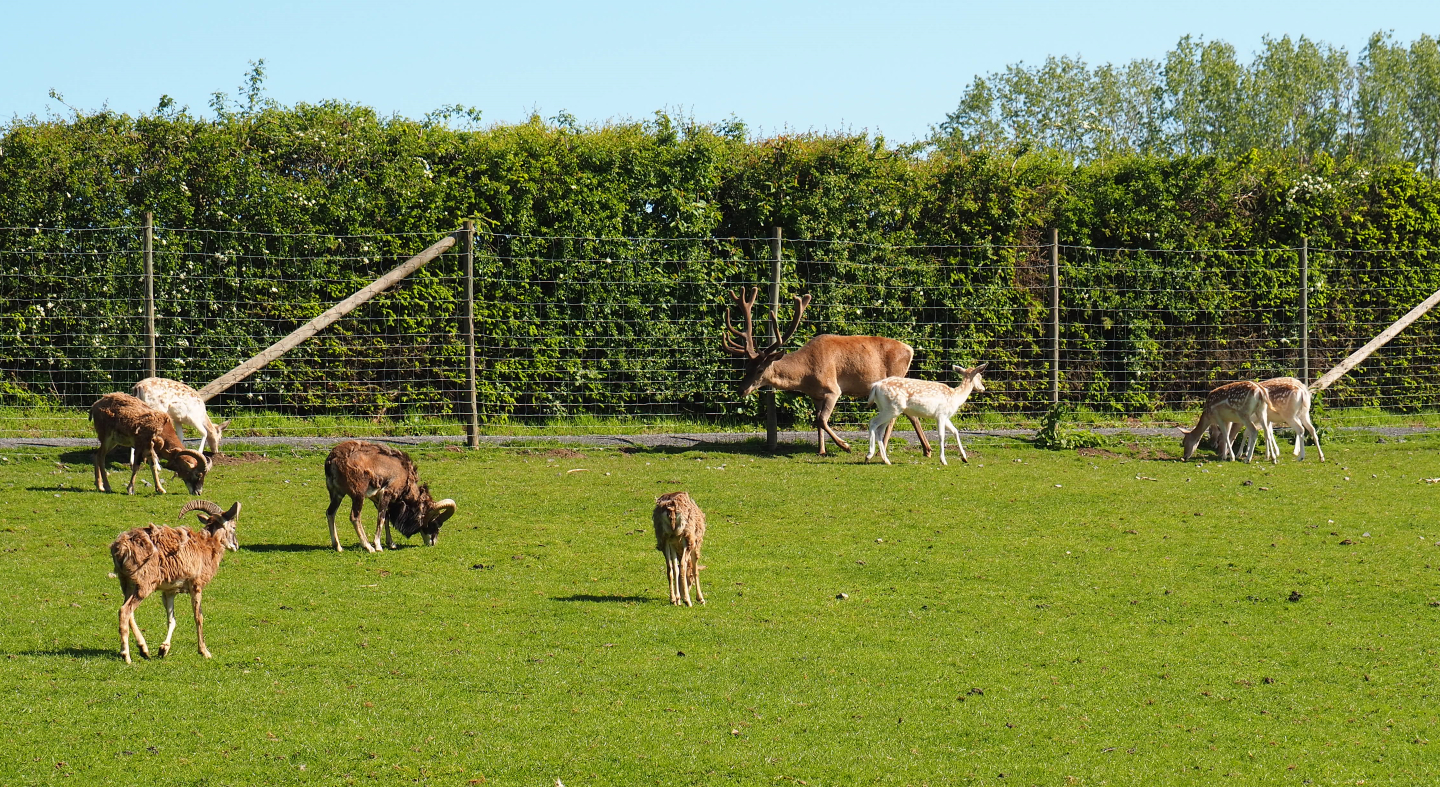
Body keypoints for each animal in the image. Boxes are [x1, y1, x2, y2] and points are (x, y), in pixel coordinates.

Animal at [722, 287, 932, 456]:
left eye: (759, 370)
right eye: (746, 367)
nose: (741, 390)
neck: (805, 375)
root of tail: (910, 350)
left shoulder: (833, 389)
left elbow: (822, 419)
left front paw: (845, 446)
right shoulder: (815, 395)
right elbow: (817, 420)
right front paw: (821, 450)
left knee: (897, 415)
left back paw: (886, 448)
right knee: (909, 412)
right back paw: (926, 449)